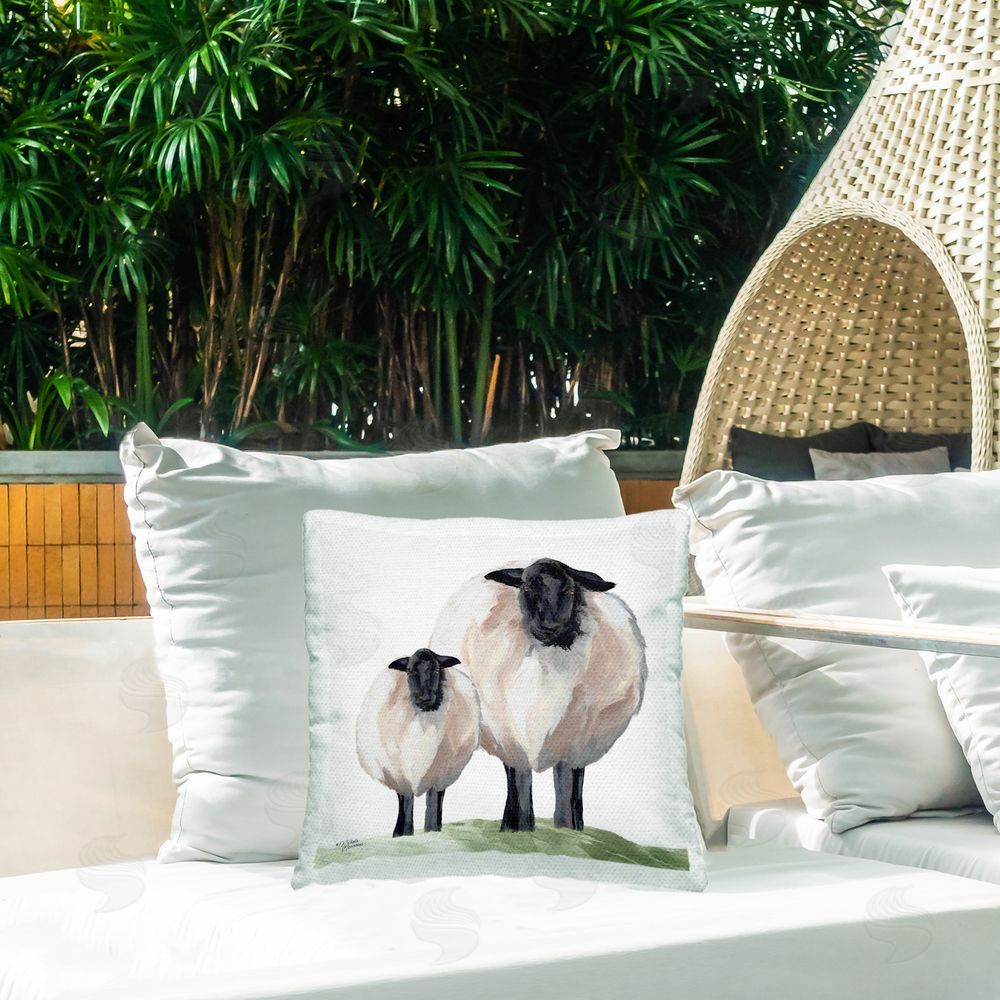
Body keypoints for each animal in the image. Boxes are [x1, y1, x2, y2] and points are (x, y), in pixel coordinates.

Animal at [356, 648, 480, 837]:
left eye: (435, 670)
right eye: (410, 672)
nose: (425, 697)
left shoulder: (438, 774)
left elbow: (433, 804)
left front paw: (432, 831)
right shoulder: (400, 775)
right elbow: (406, 803)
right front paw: (402, 834)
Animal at [430, 559, 646, 833]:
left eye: (569, 590)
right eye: (527, 588)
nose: (549, 626)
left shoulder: (572, 741)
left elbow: (566, 785)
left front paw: (566, 830)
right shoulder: (513, 737)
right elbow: (520, 781)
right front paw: (520, 829)